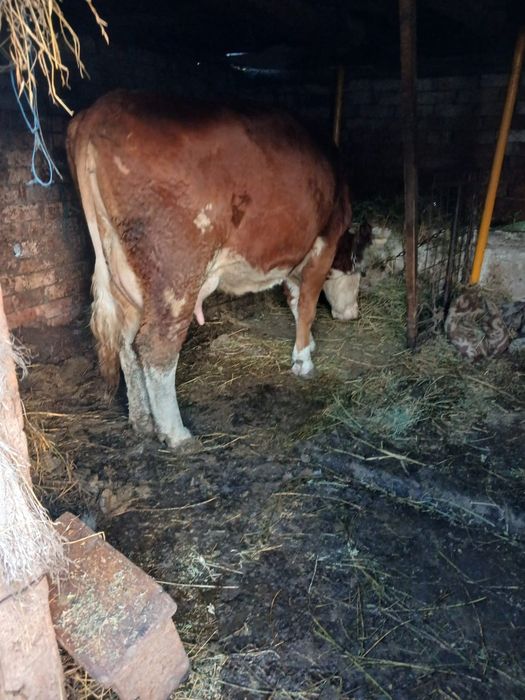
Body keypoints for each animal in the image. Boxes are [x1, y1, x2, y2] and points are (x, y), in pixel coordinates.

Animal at [67, 90, 355, 447]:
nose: (353, 314)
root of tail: (98, 111)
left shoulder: (291, 254)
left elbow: (293, 294)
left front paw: (308, 344)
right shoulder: (324, 241)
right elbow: (307, 304)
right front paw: (303, 360)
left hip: (120, 262)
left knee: (125, 340)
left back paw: (142, 421)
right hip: (176, 271)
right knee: (156, 345)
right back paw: (176, 433)